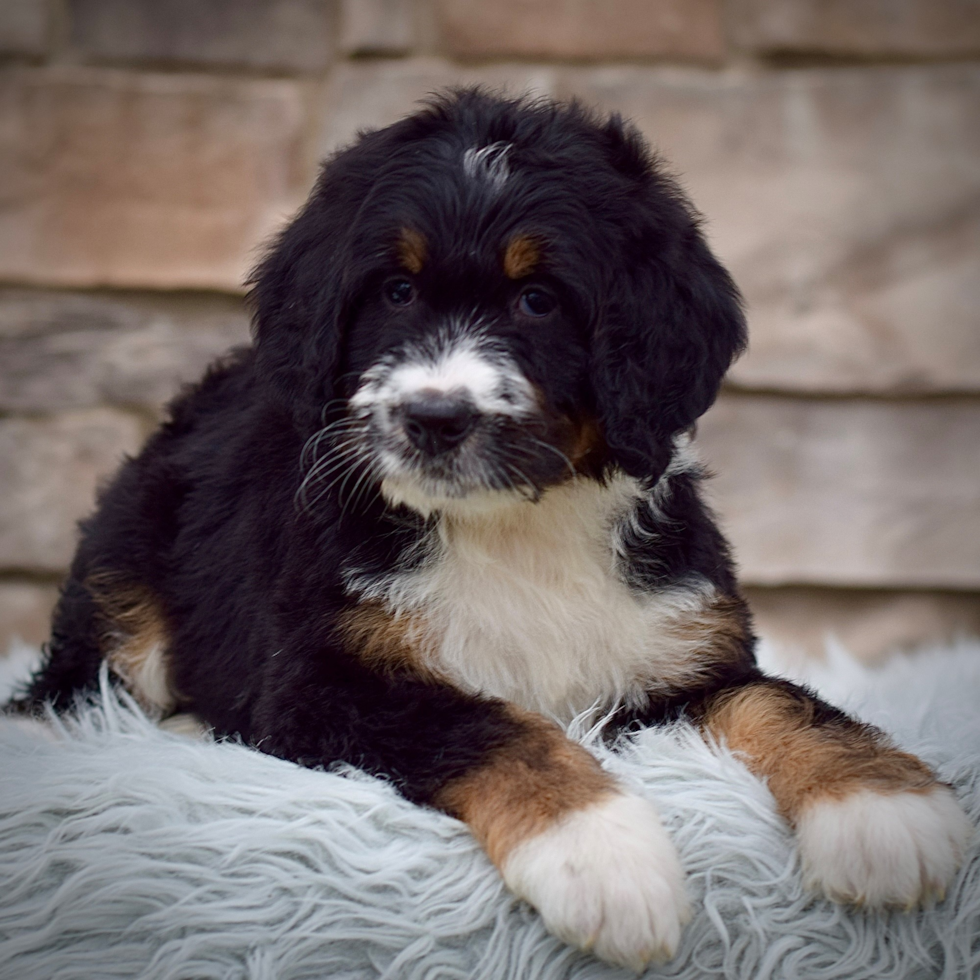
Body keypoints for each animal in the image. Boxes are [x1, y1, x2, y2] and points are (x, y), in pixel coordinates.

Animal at [15, 94, 972, 972]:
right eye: (396, 290)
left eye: (538, 300)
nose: (434, 418)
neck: (514, 524)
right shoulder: (321, 682)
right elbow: (485, 723)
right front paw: (603, 854)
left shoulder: (674, 656)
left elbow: (777, 700)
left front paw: (882, 807)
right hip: (129, 559)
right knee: (78, 684)